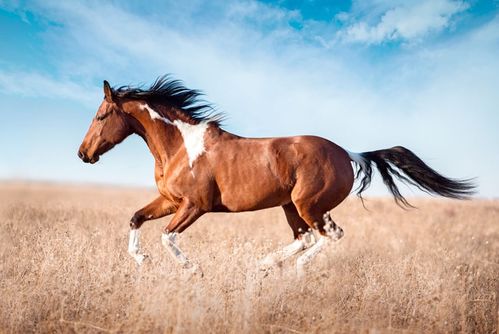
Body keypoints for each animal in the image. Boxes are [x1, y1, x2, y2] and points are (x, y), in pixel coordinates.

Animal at [78, 75, 476, 274]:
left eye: (100, 115)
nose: (83, 154)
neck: (181, 146)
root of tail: (348, 153)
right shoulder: (169, 200)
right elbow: (136, 218)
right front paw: (141, 260)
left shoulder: (195, 205)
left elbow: (167, 237)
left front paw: (191, 269)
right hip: (290, 207)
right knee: (306, 237)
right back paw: (265, 264)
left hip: (308, 205)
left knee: (328, 235)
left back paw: (294, 269)